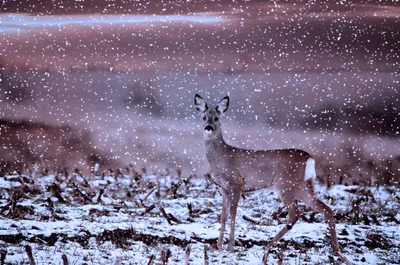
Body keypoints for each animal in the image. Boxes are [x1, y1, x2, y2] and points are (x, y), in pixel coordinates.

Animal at [195, 94, 354, 262]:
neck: (222, 156)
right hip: (302, 187)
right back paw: (337, 250)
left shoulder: (236, 183)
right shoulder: (223, 187)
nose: (208, 127)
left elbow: (233, 214)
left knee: (295, 213)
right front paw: (218, 246)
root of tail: (309, 158)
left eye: (217, 118)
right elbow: (223, 215)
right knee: (327, 209)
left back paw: (268, 246)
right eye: (204, 117)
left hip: (285, 185)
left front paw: (230, 246)